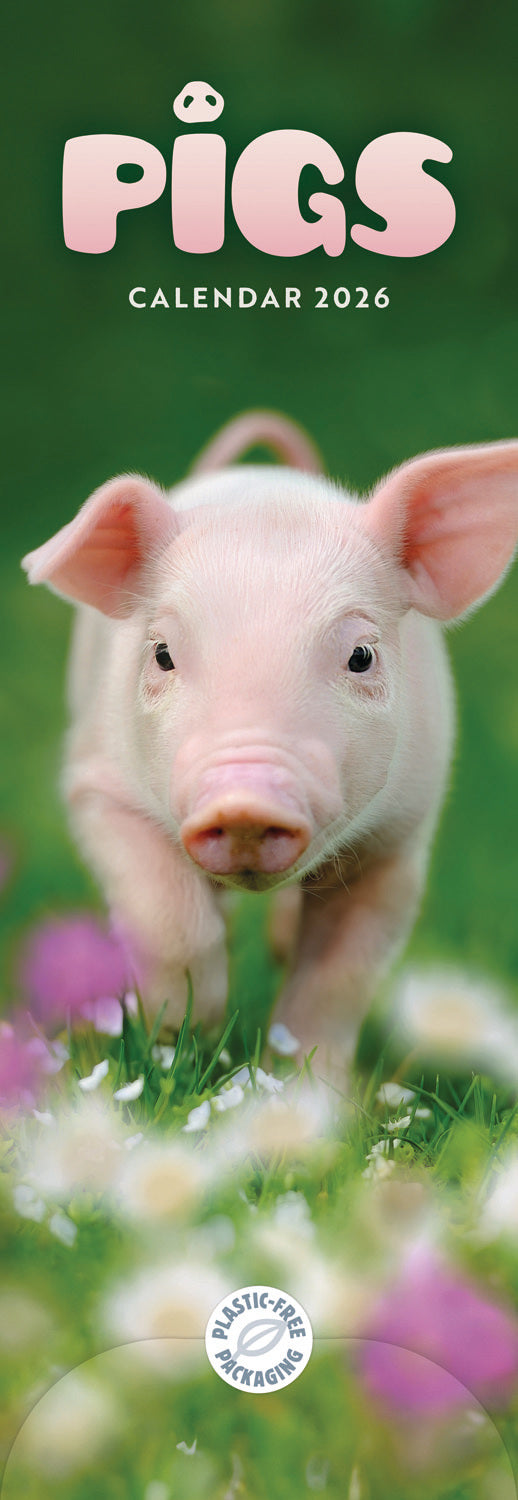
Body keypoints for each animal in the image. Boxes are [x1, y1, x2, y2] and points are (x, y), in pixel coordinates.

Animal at [22, 411, 518, 1083]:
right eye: (162, 653)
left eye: (361, 655)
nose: (244, 804)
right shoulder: (97, 785)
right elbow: (170, 920)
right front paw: (179, 1035)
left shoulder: (399, 837)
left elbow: (340, 975)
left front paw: (306, 1086)